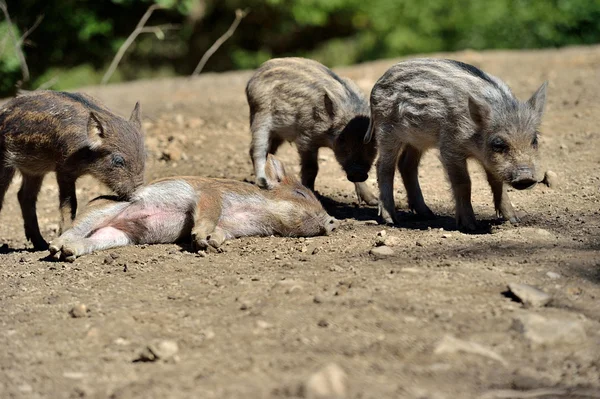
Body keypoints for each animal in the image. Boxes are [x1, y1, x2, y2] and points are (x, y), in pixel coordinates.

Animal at [0, 90, 145, 250]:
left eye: (144, 156)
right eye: (118, 160)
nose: (138, 193)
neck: (85, 154)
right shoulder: (64, 170)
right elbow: (70, 203)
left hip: (33, 169)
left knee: (24, 196)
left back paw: (41, 245)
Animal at [48, 155, 338, 262]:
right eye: (300, 193)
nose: (334, 221)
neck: (255, 212)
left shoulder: (229, 229)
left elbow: (218, 233)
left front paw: (212, 245)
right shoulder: (211, 196)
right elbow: (208, 214)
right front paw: (200, 239)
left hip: (117, 237)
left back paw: (68, 253)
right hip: (102, 211)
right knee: (72, 230)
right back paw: (55, 248)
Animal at [246, 58, 378, 206]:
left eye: (372, 141)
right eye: (342, 139)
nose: (358, 171)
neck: (326, 139)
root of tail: (254, 76)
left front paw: (374, 201)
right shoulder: (306, 138)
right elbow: (311, 168)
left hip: (277, 134)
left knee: (267, 152)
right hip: (260, 117)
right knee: (257, 151)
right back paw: (262, 184)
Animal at [366, 57, 548, 230]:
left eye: (534, 140)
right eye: (498, 144)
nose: (525, 177)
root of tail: (378, 83)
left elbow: (497, 182)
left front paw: (513, 220)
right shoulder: (450, 148)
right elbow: (463, 183)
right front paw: (470, 226)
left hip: (416, 139)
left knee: (406, 165)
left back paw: (428, 214)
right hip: (386, 131)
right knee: (383, 166)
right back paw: (391, 220)